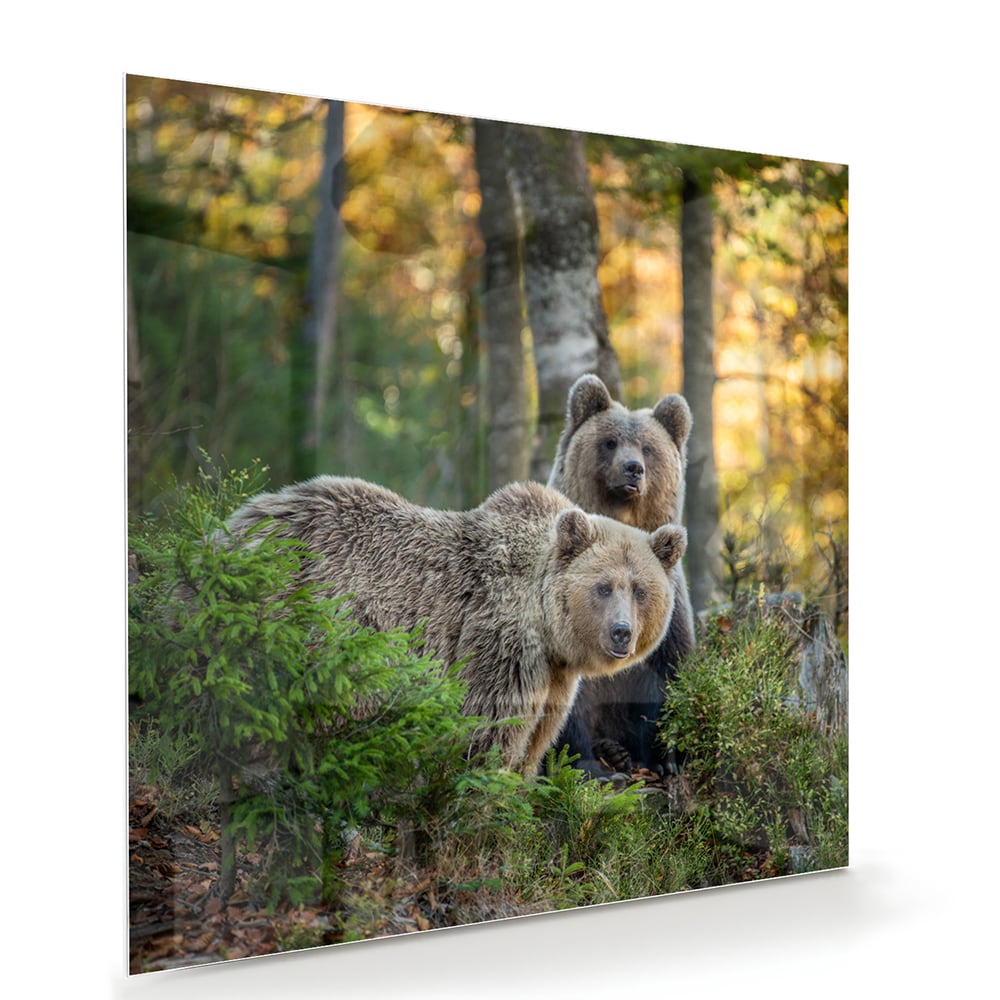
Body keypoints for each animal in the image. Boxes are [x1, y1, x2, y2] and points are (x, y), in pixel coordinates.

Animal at [224, 476, 687, 775]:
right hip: (294, 616)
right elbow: (490, 728)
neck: (547, 625)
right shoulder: (500, 639)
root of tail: (237, 523)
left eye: (640, 589)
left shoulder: (554, 675)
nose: (621, 632)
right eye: (603, 586)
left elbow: (539, 733)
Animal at [547, 373, 696, 779]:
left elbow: (668, 671)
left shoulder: (669, 602)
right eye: (610, 441)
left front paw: (665, 759)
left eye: (648, 448)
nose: (632, 468)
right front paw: (585, 765)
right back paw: (609, 754)